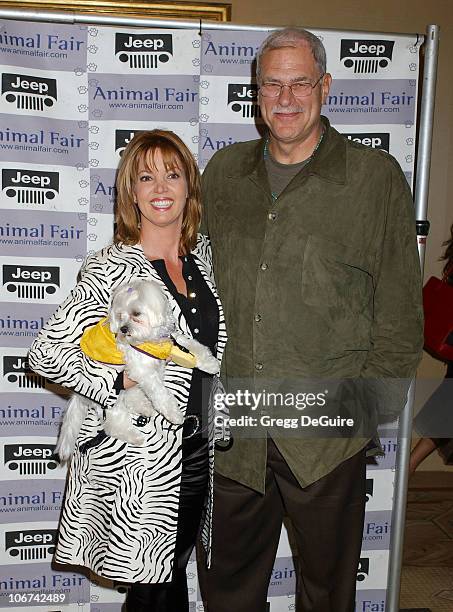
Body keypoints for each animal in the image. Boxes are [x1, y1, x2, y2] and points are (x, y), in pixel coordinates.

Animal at [55, 280, 220, 462]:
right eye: (120, 316)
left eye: (136, 313)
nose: (123, 329)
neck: (149, 339)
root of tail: (79, 393)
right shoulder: (142, 370)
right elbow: (160, 392)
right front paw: (174, 413)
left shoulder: (172, 341)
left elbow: (193, 345)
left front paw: (210, 364)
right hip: (109, 395)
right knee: (113, 421)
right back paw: (135, 436)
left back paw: (144, 407)